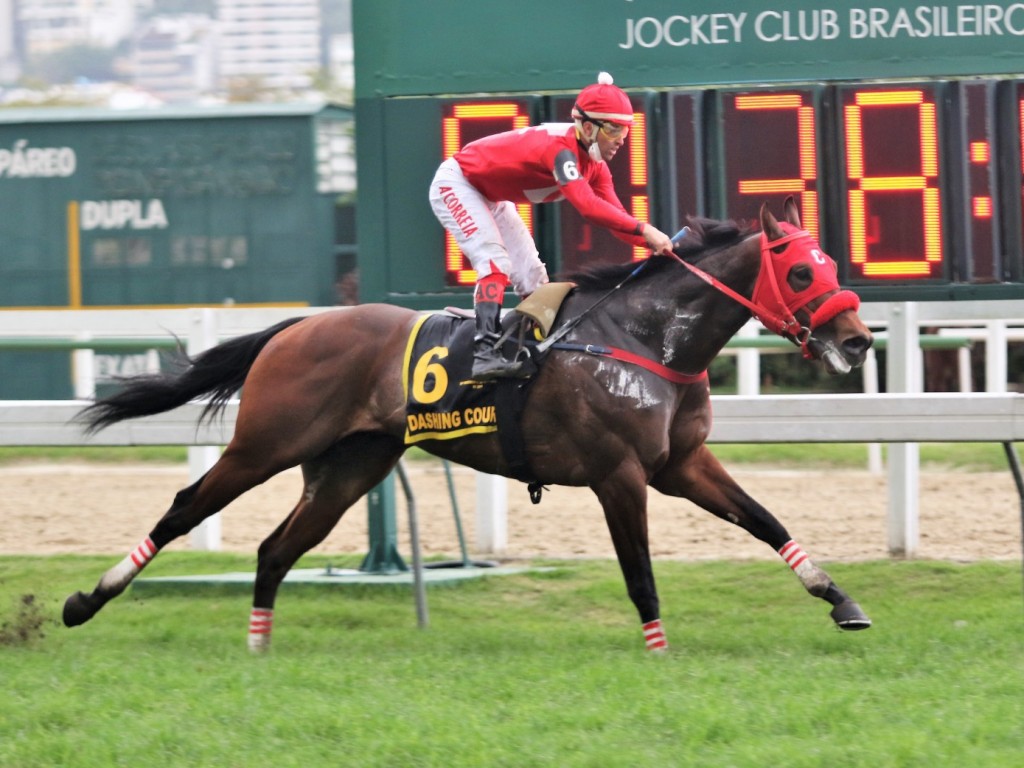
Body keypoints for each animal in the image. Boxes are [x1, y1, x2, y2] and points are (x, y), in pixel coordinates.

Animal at [61, 199, 872, 655]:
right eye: (802, 273)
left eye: (831, 263)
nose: (859, 340)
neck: (643, 338)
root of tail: (296, 327)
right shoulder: (619, 476)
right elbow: (639, 571)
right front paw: (658, 650)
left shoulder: (682, 465)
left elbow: (765, 520)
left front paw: (841, 601)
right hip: (265, 443)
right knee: (184, 509)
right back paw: (85, 600)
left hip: (349, 467)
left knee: (275, 549)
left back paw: (259, 647)